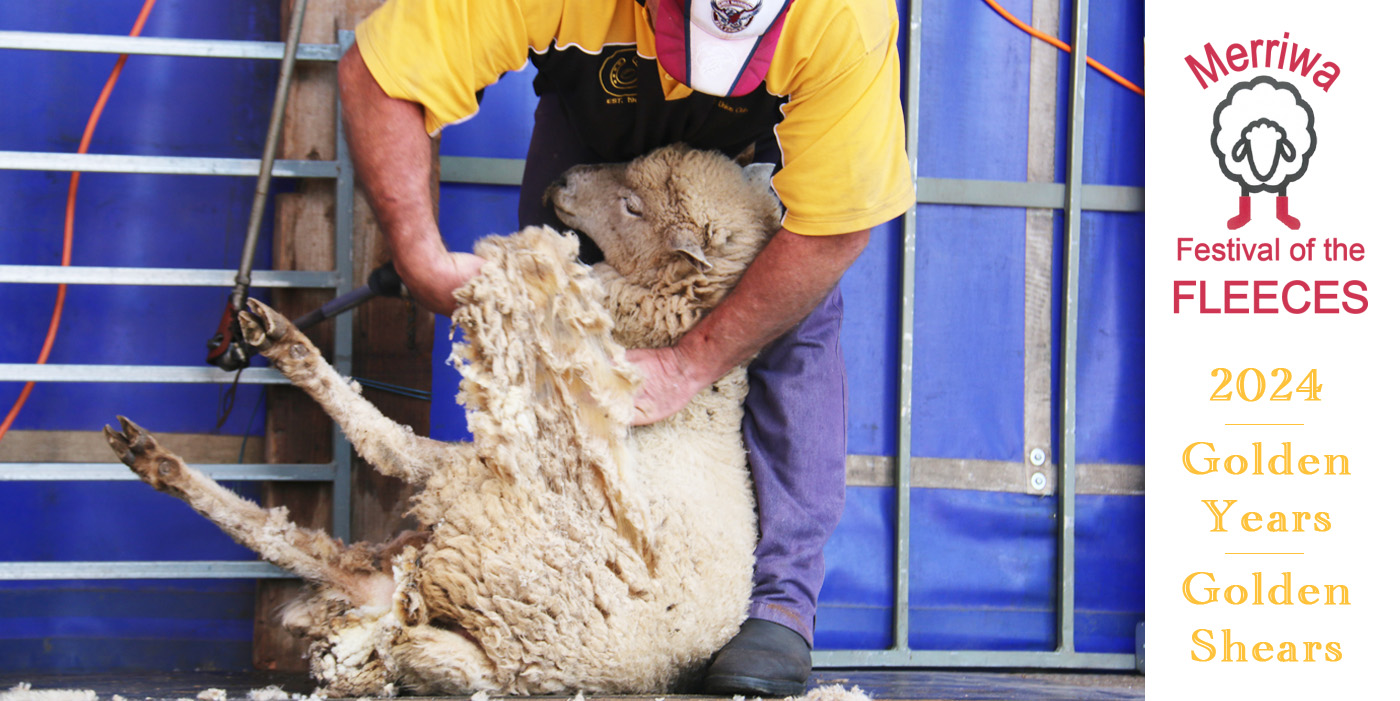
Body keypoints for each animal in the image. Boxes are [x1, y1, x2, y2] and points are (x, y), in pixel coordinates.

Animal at [103, 143, 789, 694]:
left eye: (632, 207)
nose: (563, 179)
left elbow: (386, 444)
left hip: (482, 506)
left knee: (369, 461)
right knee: (295, 541)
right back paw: (158, 449)